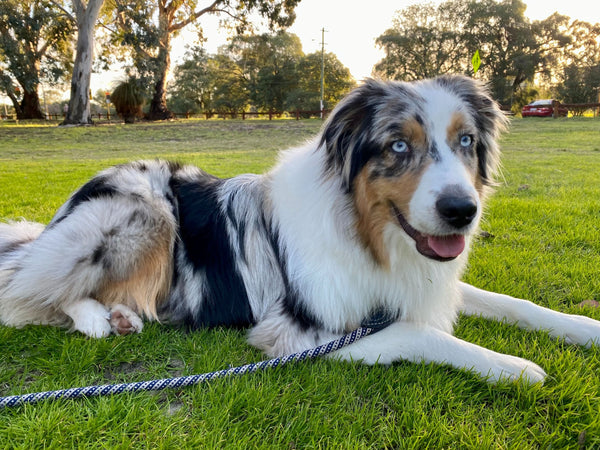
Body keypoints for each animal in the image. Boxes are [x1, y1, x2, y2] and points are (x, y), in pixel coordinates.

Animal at [1, 74, 600, 384]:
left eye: (466, 141)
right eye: (397, 146)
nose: (461, 210)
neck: (370, 236)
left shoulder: (424, 280)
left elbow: (511, 302)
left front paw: (583, 328)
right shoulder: (298, 333)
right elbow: (422, 333)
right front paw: (512, 365)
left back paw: (122, 314)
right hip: (145, 212)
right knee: (28, 292)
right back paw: (97, 318)